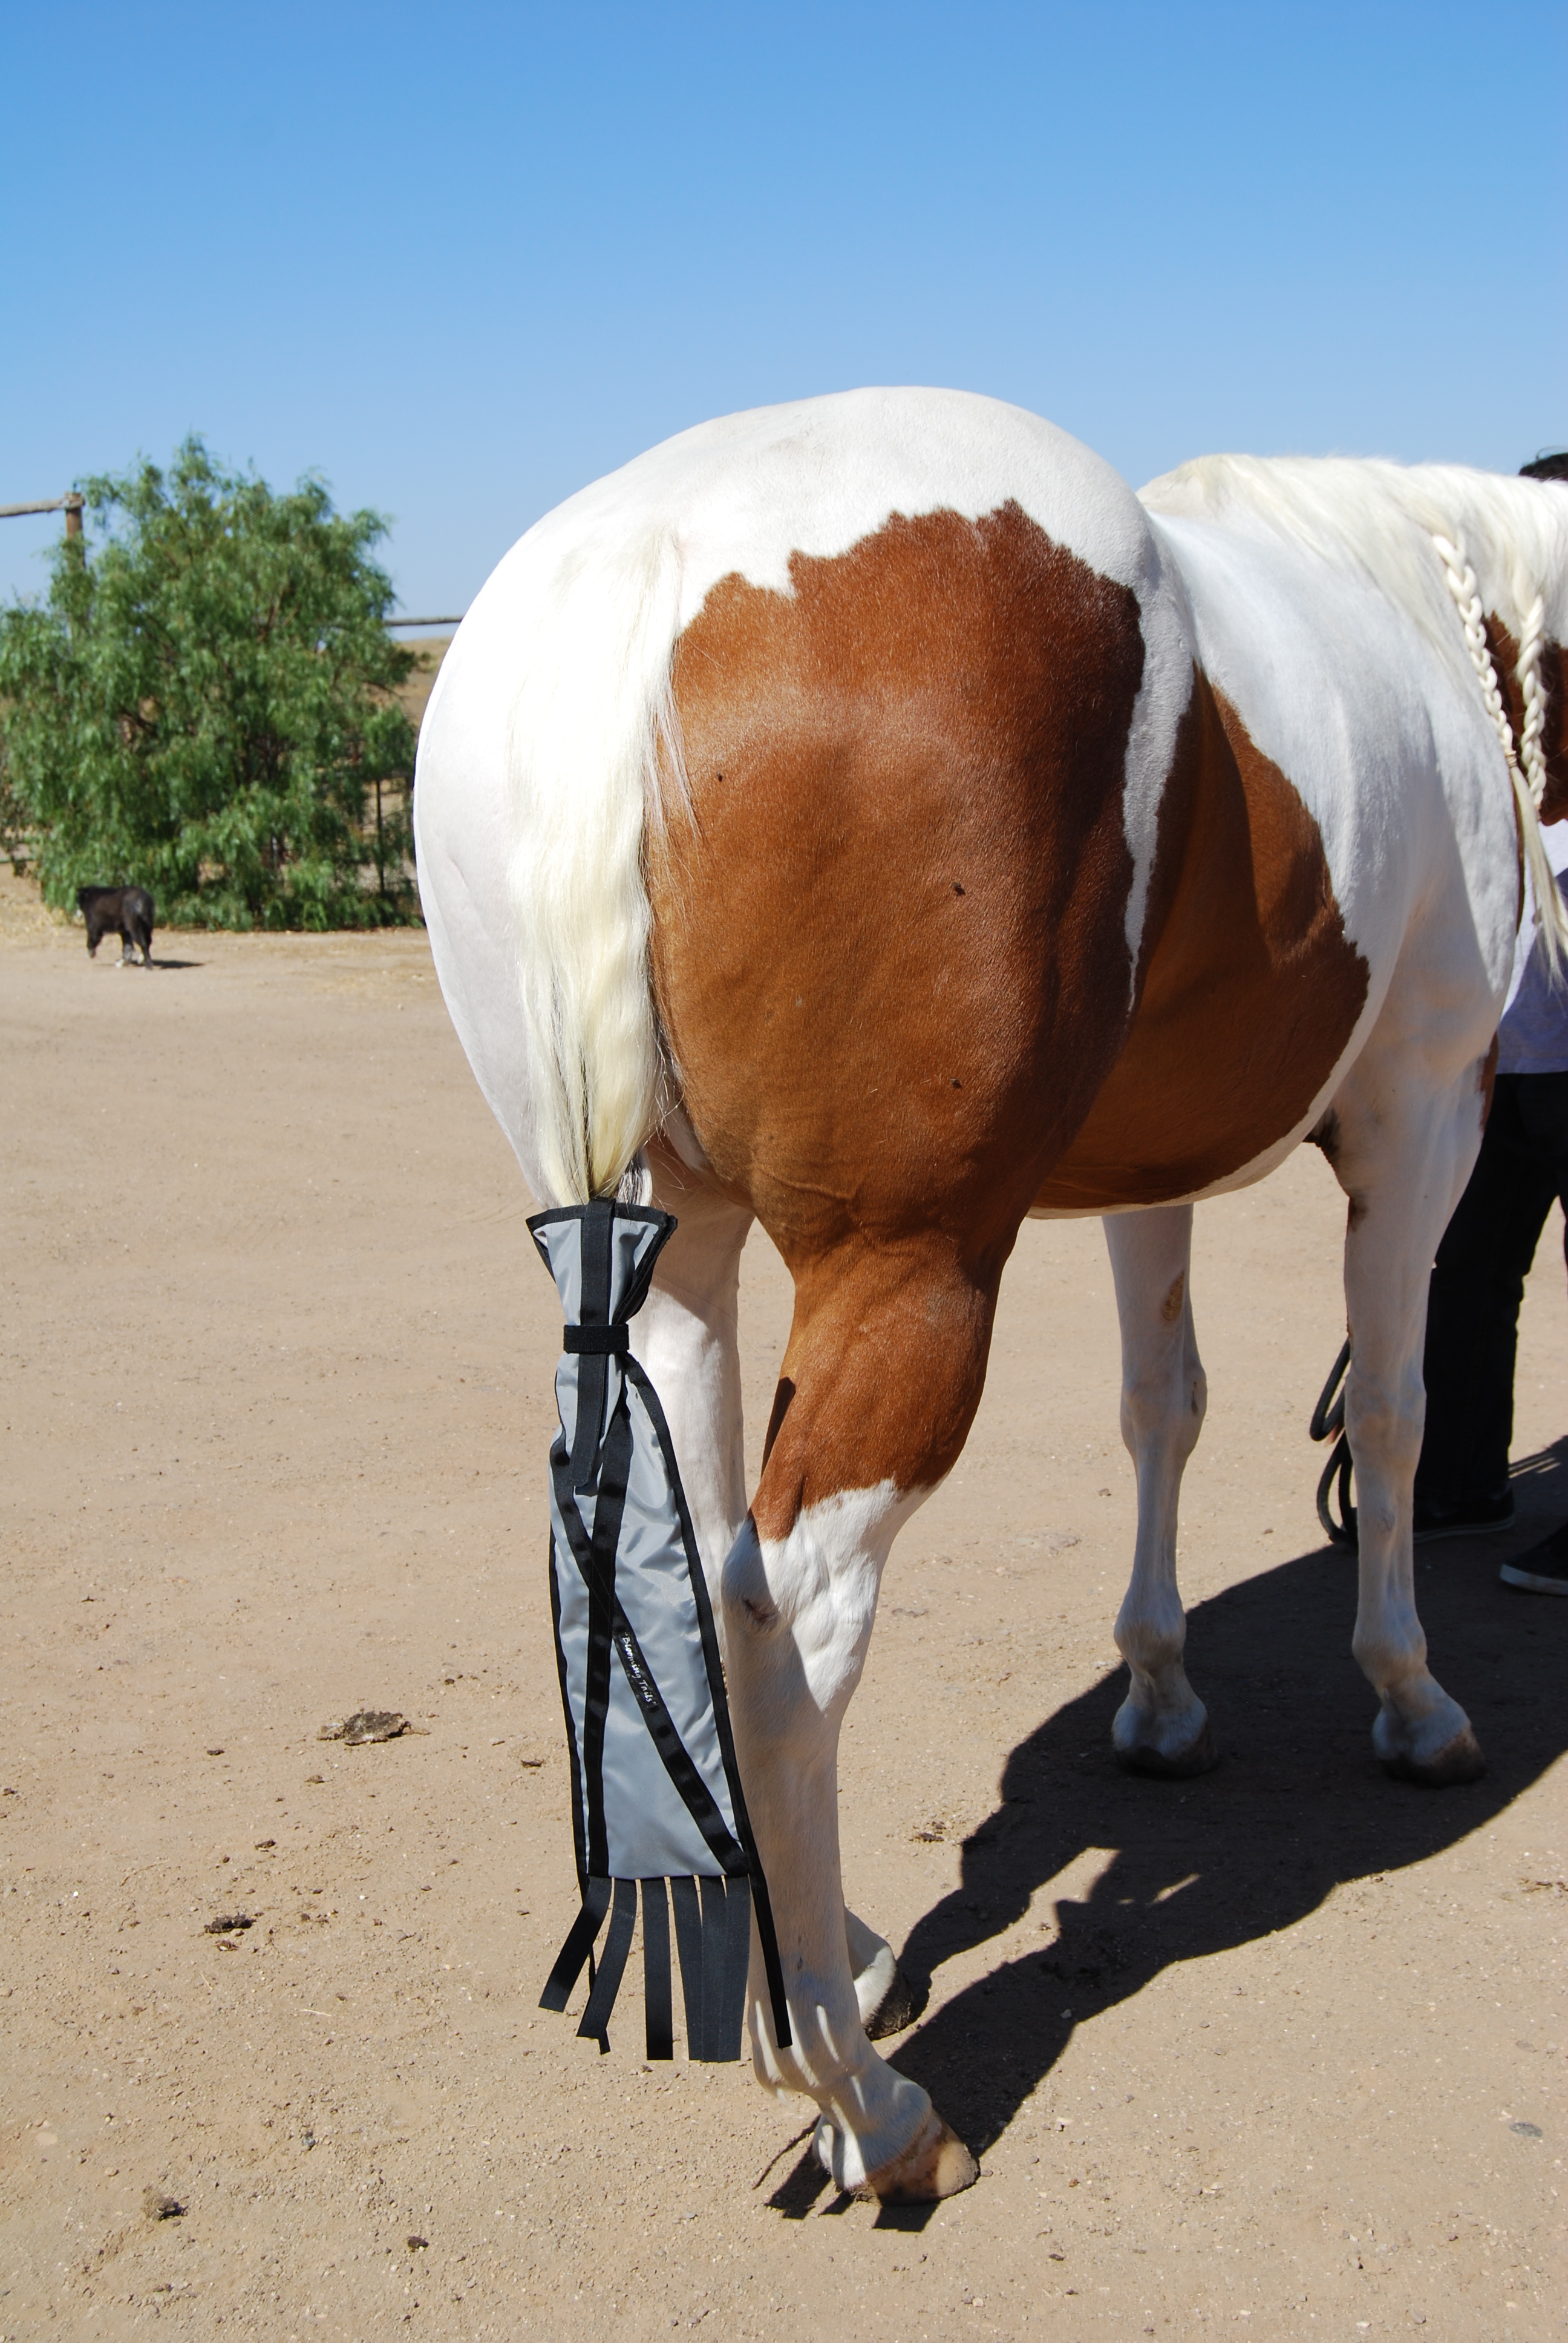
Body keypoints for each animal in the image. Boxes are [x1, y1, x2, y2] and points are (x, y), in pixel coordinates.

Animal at [413, 388, 1568, 2203]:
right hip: (911, 1268)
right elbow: (1389, 1414)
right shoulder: (1423, 1111)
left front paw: (1161, 1694)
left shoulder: (1153, 1172)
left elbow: (1164, 1408)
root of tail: (644, 570)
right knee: (786, 1619)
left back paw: (826, 1972)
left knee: (691, 1580)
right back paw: (858, 2094)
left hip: (669, 1251)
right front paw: (1410, 1696)